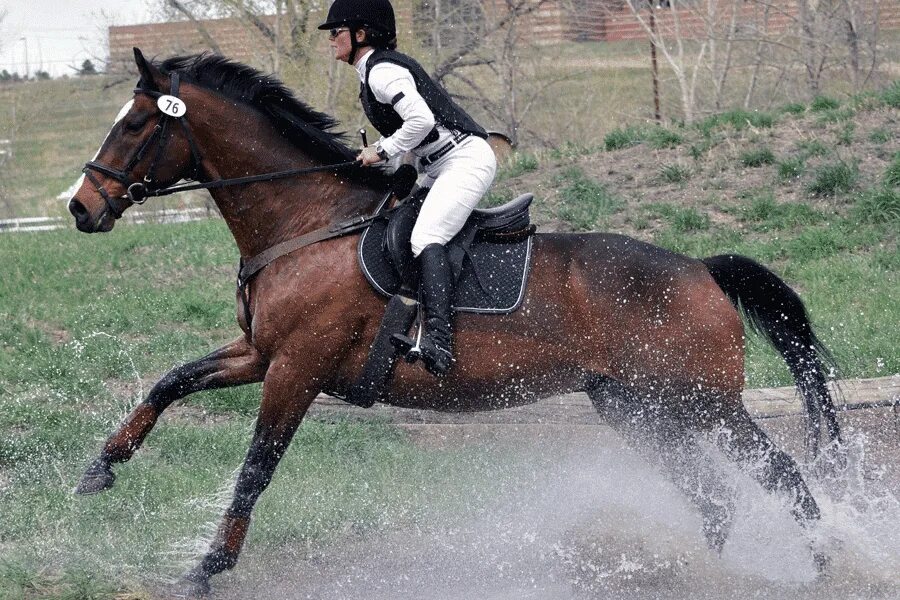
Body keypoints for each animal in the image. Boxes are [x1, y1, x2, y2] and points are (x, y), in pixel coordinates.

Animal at [67, 50, 840, 596]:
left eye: (134, 125)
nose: (80, 207)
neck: (307, 222)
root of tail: (701, 270)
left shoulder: (297, 367)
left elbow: (257, 465)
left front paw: (208, 566)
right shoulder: (261, 352)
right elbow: (170, 382)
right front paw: (99, 469)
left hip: (703, 403)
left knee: (780, 474)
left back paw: (823, 562)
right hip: (638, 409)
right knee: (715, 499)